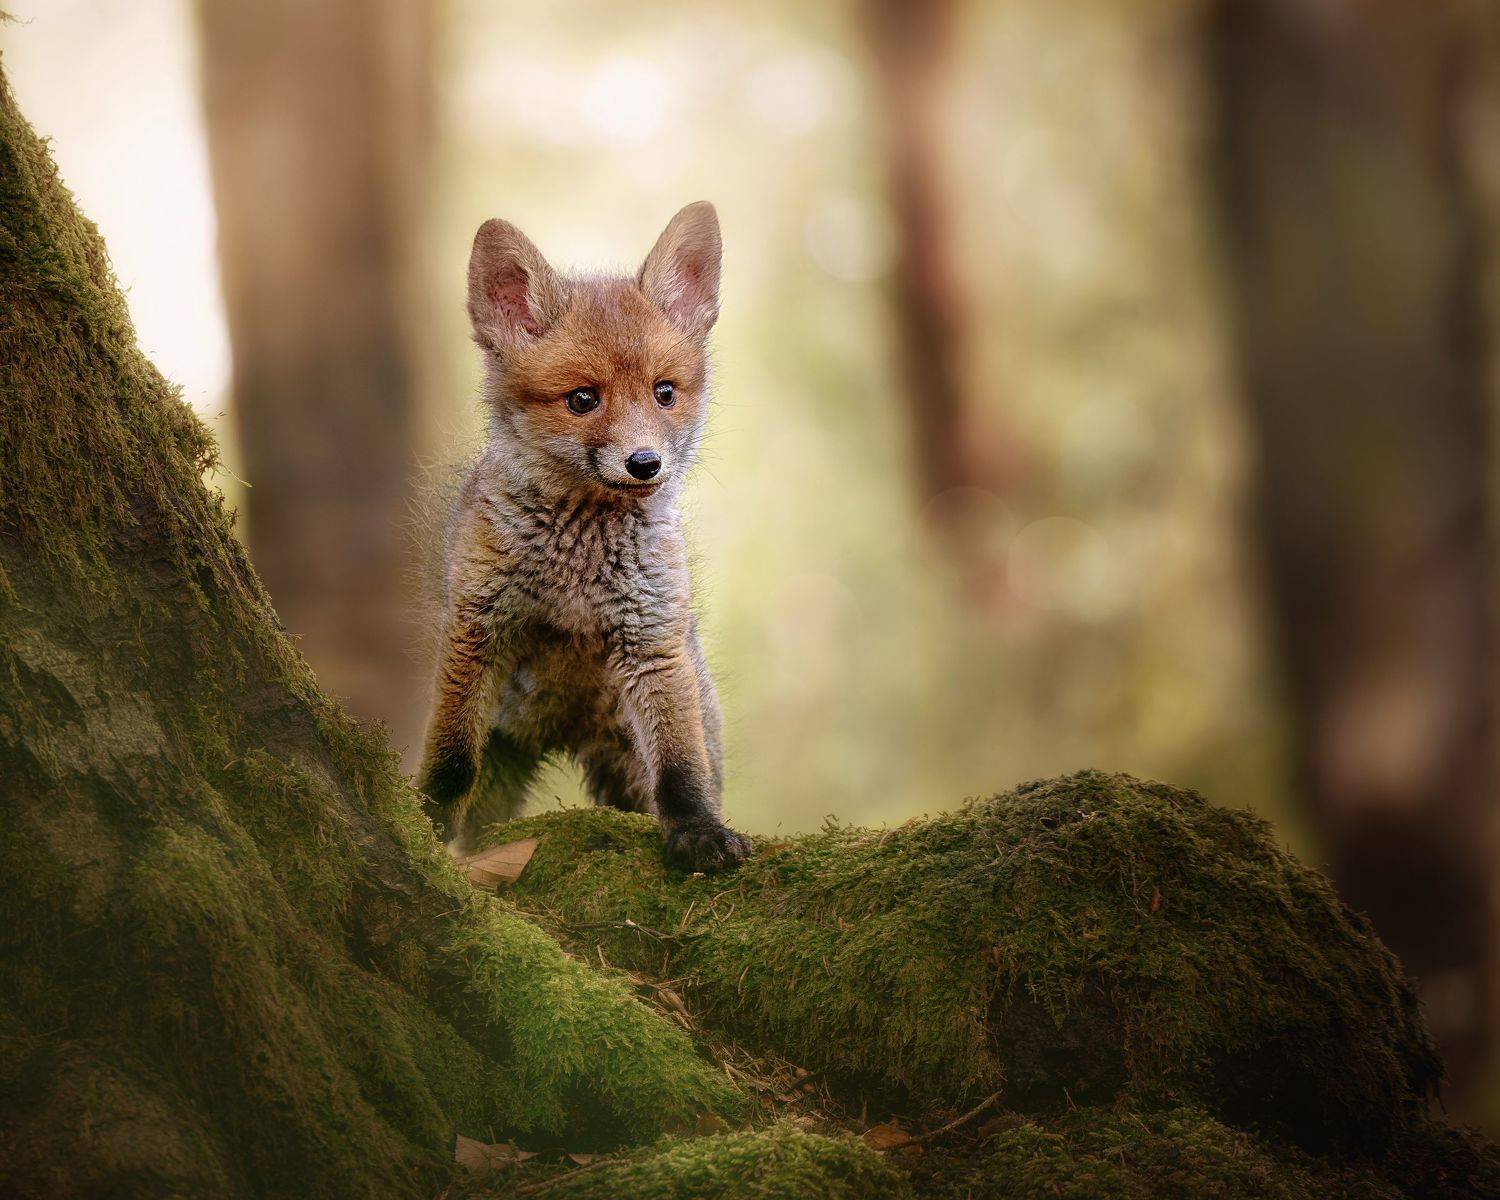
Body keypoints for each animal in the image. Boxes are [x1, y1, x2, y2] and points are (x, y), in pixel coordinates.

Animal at [416, 201, 753, 873]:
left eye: (664, 393)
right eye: (582, 399)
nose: (646, 463)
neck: (578, 565)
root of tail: (564, 733)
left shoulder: (652, 640)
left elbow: (681, 771)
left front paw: (698, 832)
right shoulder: (476, 627)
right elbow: (451, 762)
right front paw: (425, 823)